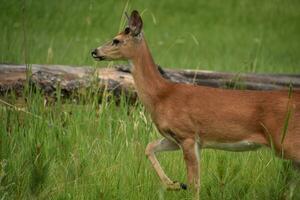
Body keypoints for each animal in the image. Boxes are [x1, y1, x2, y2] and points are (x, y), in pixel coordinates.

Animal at [92, 10, 300, 200]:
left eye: (117, 40)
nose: (94, 51)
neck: (161, 95)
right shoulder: (176, 137)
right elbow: (149, 147)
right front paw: (175, 184)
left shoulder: (187, 135)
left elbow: (195, 183)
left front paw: (180, 184)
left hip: (286, 140)